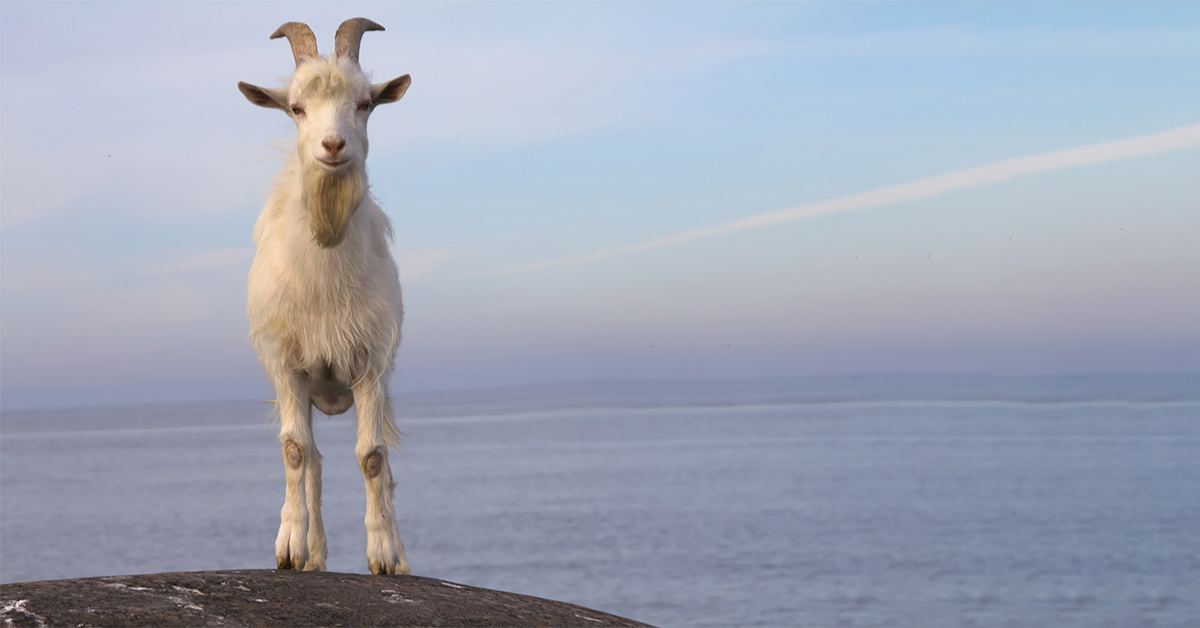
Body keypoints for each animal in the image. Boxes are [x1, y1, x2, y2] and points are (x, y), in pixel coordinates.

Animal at [237, 18, 412, 575]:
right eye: (296, 107)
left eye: (365, 103)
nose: (333, 146)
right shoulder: (286, 366)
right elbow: (295, 452)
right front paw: (291, 548)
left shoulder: (371, 365)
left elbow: (372, 458)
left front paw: (382, 556)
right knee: (311, 460)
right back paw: (314, 555)